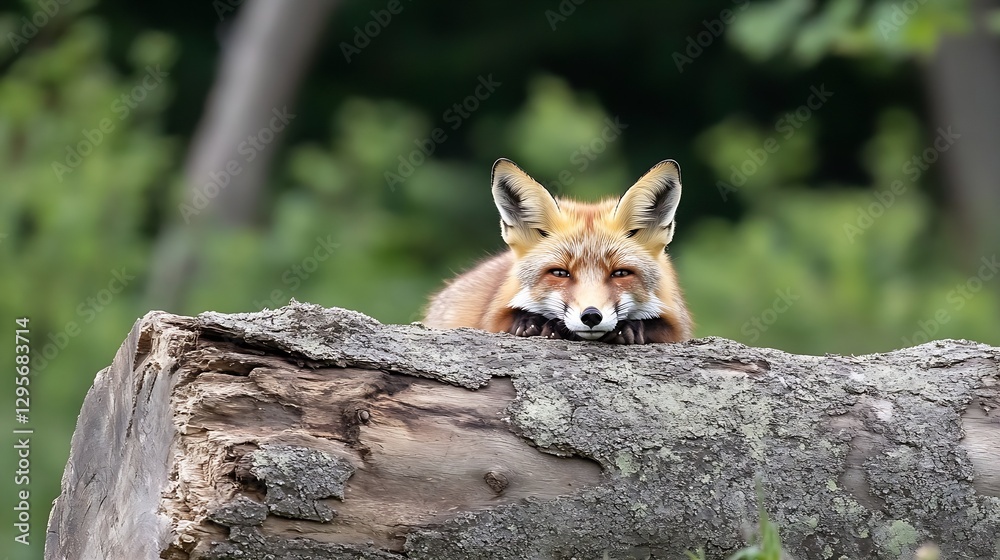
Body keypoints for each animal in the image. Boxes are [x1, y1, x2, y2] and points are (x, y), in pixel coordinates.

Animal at [422, 158, 692, 344]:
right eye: (560, 273)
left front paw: (631, 328)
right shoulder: (492, 317)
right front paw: (533, 323)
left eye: (621, 273)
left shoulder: (678, 323)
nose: (591, 316)